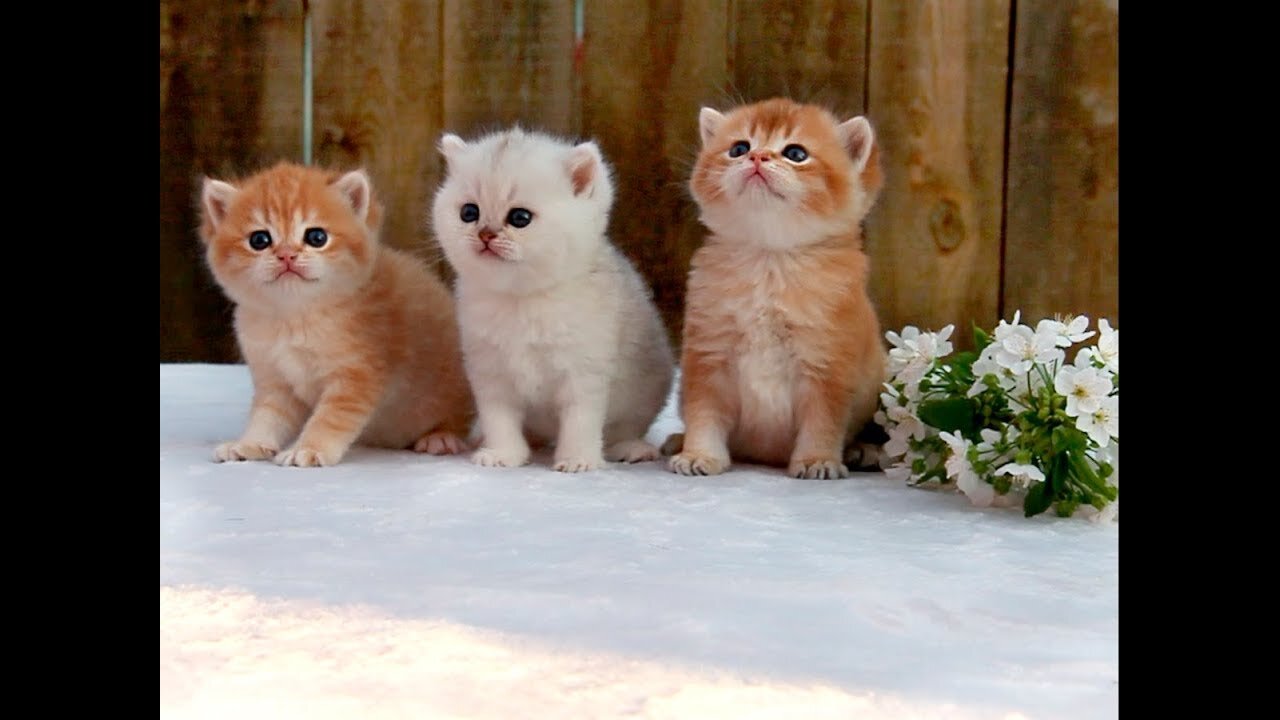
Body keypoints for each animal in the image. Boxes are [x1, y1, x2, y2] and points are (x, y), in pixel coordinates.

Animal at [199, 161, 476, 466]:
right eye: (259, 239)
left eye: (316, 237)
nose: (286, 255)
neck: (295, 315)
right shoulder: (275, 381)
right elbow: (268, 416)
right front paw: (249, 444)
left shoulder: (356, 376)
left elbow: (329, 419)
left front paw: (308, 449)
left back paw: (441, 437)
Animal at [432, 124, 675, 471]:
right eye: (469, 212)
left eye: (520, 217)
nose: (485, 234)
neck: (522, 298)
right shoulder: (491, 373)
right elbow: (499, 419)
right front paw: (504, 454)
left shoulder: (584, 372)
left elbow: (580, 420)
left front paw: (577, 460)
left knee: (626, 428)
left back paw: (631, 448)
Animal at [670, 95, 890, 476]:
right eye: (739, 148)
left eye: (796, 153)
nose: (758, 157)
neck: (770, 259)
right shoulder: (707, 356)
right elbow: (703, 413)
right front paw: (699, 454)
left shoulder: (827, 365)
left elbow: (823, 421)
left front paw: (818, 460)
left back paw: (865, 450)